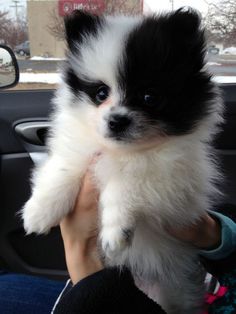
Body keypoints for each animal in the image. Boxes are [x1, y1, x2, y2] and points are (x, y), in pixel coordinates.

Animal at [22, 8, 223, 312]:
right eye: (101, 93)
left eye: (150, 97)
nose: (117, 120)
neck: (124, 151)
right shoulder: (80, 149)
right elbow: (64, 169)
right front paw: (38, 212)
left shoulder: (175, 183)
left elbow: (127, 182)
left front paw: (115, 231)